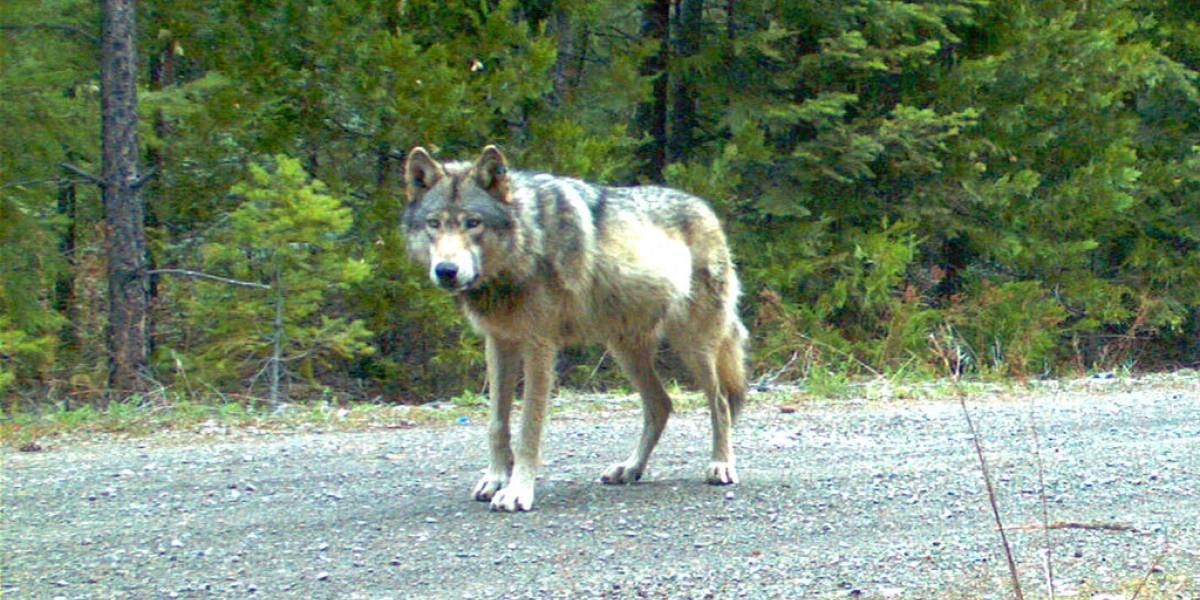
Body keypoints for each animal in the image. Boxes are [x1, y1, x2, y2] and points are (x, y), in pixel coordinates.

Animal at [402, 145, 748, 512]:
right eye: (434, 224)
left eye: (472, 223)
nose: (446, 270)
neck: (527, 243)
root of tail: (706, 208)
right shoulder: (499, 343)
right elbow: (497, 423)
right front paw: (495, 479)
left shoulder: (539, 346)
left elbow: (528, 428)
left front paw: (517, 491)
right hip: (624, 350)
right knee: (661, 404)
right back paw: (630, 469)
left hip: (694, 346)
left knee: (720, 402)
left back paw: (721, 465)